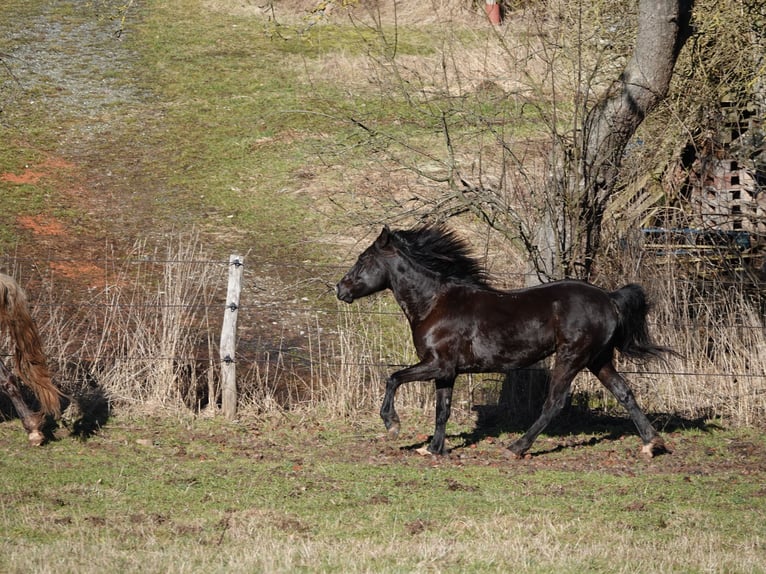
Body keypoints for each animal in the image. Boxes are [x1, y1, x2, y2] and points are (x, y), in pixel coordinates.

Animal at [336, 224, 675, 458]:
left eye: (363, 259)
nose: (340, 289)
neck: (434, 304)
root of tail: (609, 298)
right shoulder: (446, 371)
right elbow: (442, 410)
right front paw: (434, 449)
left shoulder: (436, 364)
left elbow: (393, 378)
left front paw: (392, 424)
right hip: (598, 360)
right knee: (624, 393)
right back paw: (652, 443)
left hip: (571, 358)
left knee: (554, 403)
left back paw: (516, 447)